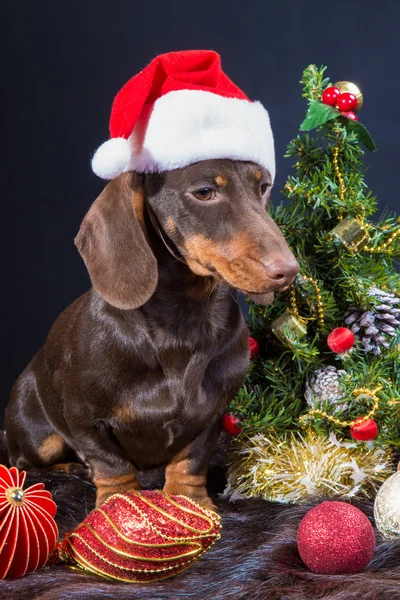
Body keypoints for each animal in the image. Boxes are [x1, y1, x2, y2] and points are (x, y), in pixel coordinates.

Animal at [4, 161, 298, 510]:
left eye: (263, 187)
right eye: (204, 193)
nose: (289, 271)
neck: (184, 322)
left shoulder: (212, 414)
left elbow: (191, 459)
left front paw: (188, 499)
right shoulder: (86, 421)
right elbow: (110, 463)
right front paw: (117, 501)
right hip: (38, 435)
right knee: (24, 463)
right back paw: (67, 467)